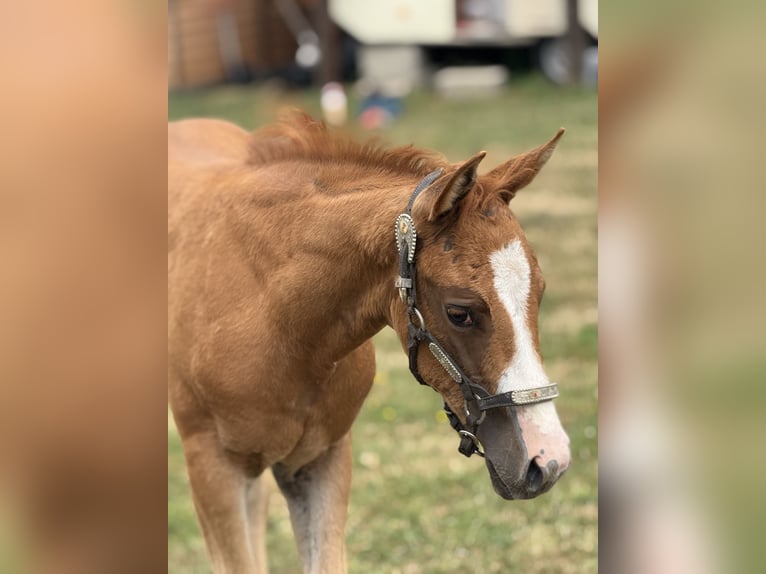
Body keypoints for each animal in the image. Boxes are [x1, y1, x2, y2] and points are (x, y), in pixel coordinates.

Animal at [168, 112, 571, 573]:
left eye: (540, 292)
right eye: (459, 312)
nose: (548, 460)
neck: (273, 320)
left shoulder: (321, 458)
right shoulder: (212, 469)